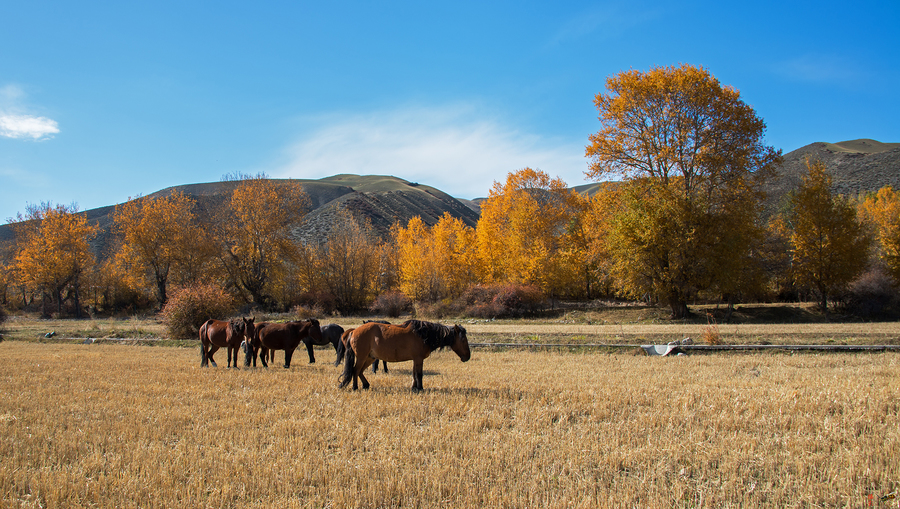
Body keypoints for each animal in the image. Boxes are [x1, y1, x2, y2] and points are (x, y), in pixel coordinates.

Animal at [340, 320, 472, 390]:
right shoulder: (418, 359)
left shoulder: (415, 359)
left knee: (360, 371)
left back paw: (366, 385)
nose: (468, 357)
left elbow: (414, 374)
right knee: (355, 370)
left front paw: (414, 388)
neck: (423, 334)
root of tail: (354, 331)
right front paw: (420, 388)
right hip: (362, 357)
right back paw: (355, 387)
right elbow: (419, 374)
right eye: (463, 339)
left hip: (370, 358)